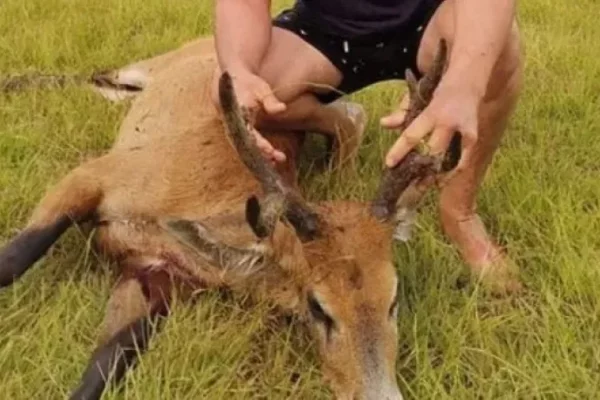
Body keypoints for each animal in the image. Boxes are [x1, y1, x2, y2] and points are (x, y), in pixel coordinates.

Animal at [0, 35, 454, 400]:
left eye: (393, 299)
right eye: (318, 307)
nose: (381, 396)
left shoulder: (156, 277)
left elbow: (102, 371)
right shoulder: (95, 174)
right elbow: (13, 260)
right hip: (154, 65)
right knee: (104, 74)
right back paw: (13, 81)